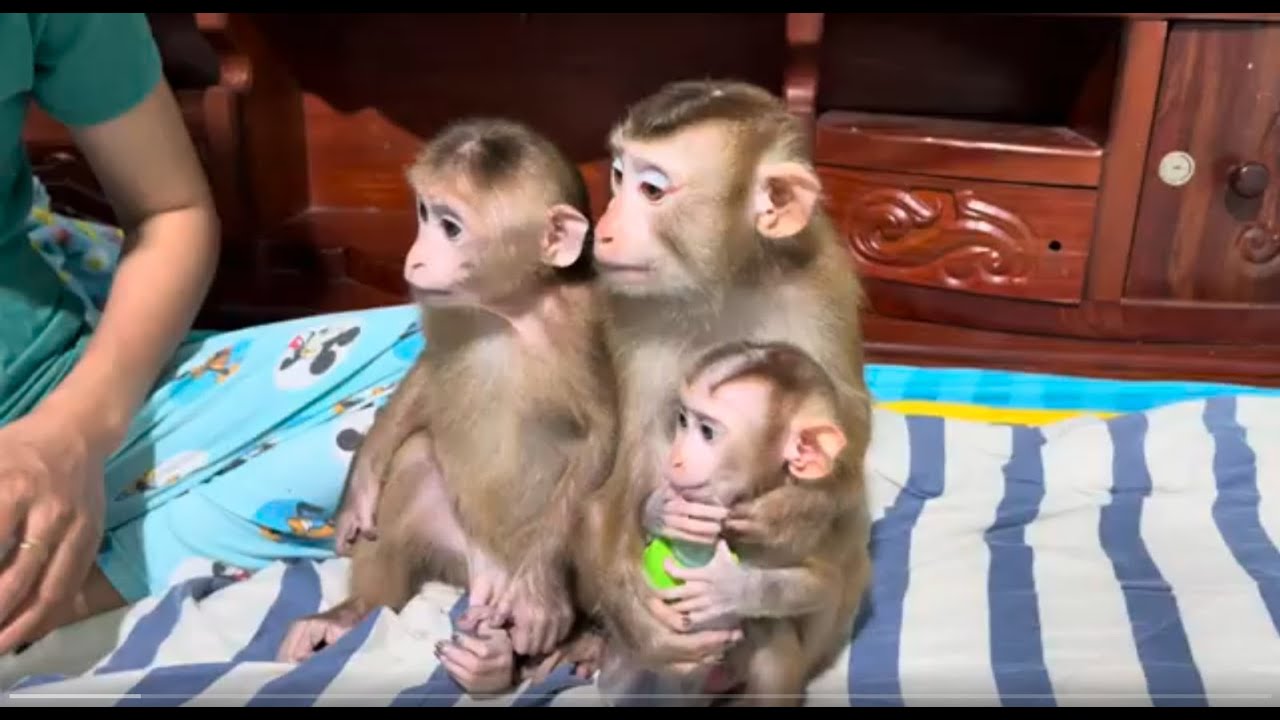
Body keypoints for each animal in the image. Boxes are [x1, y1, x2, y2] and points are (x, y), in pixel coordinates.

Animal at [277, 118, 618, 695]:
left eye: (451, 227)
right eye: (423, 214)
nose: (415, 257)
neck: (511, 312)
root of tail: (490, 577)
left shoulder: (589, 323)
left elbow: (606, 435)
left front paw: (539, 595)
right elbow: (427, 377)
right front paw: (359, 486)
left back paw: (563, 644)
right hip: (464, 553)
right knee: (416, 456)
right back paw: (358, 615)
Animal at [571, 79, 872, 696]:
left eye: (651, 189)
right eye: (616, 175)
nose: (603, 229)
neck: (728, 279)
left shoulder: (820, 282)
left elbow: (847, 433)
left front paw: (792, 511)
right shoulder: (634, 317)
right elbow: (630, 467)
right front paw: (639, 613)